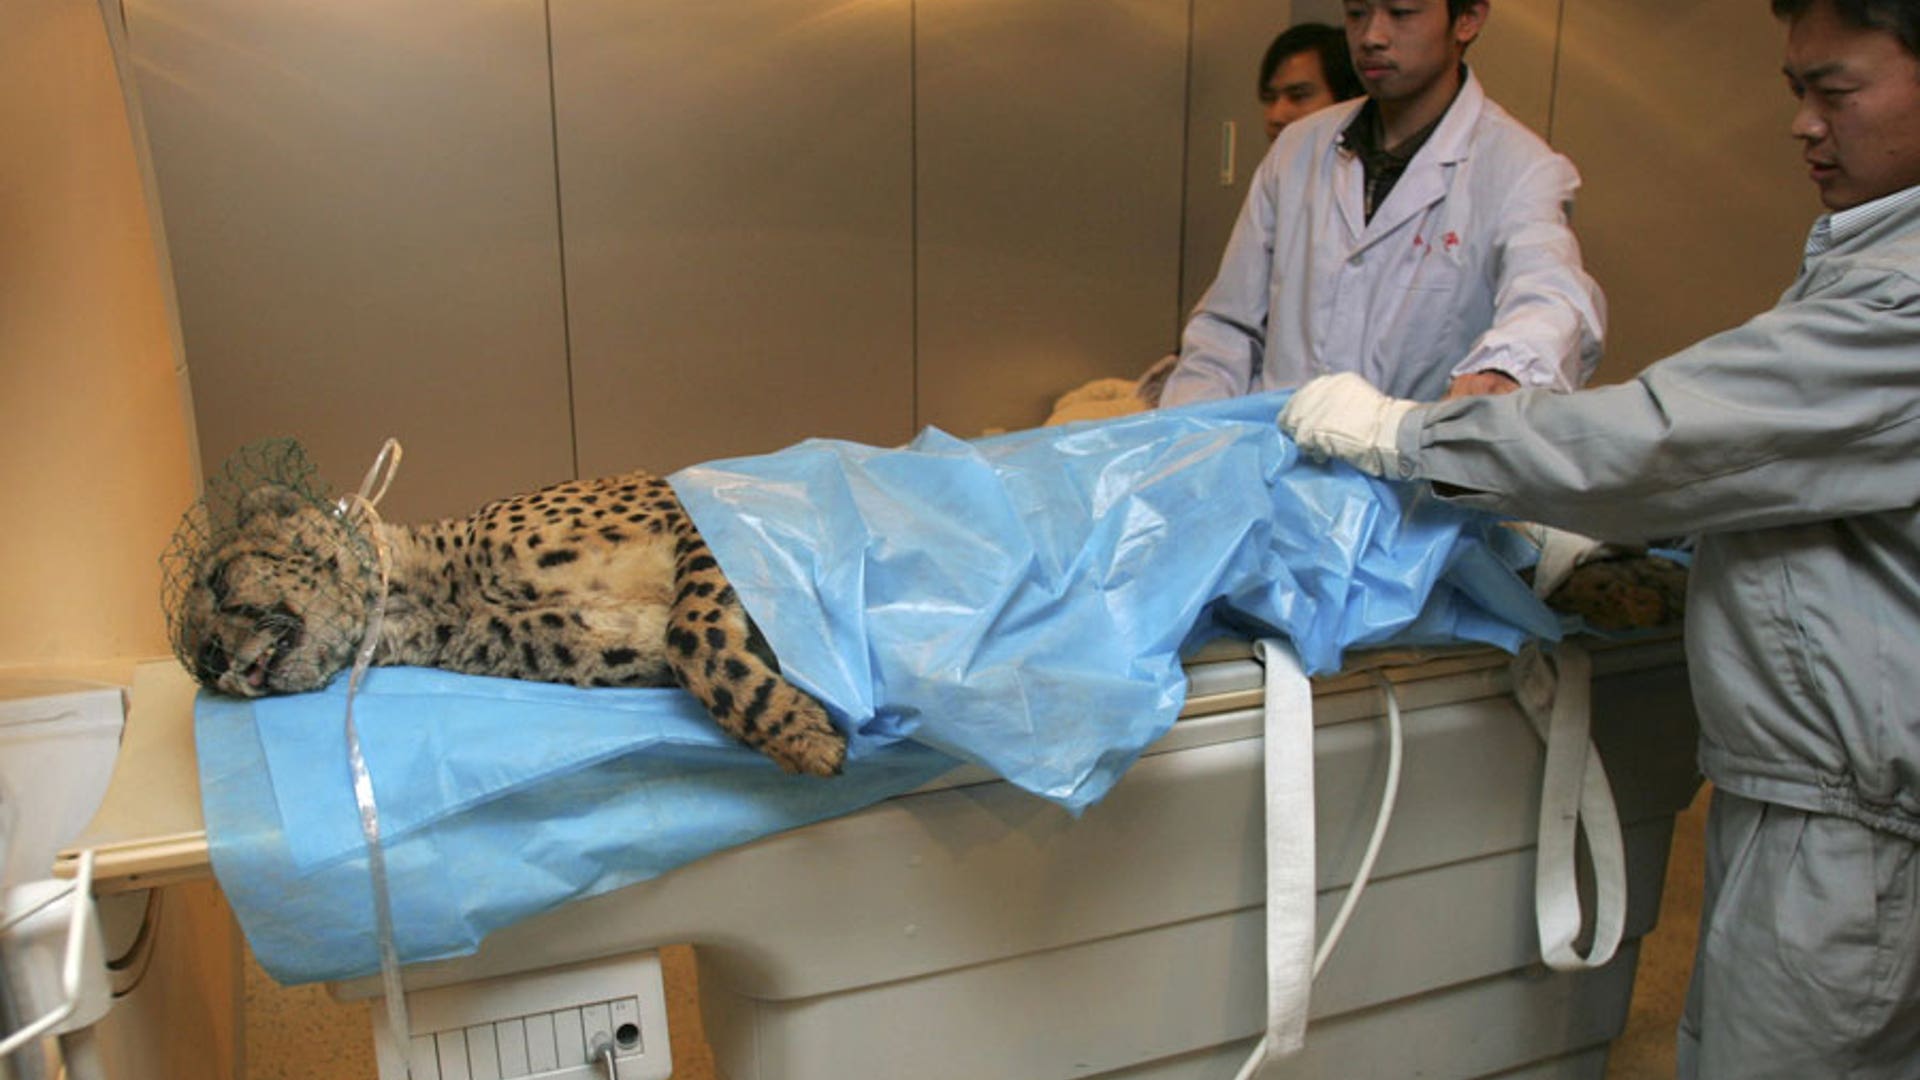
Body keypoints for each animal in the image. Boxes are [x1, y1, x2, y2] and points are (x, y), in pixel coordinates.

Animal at [174, 471, 846, 777]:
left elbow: (691, 634)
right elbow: (680, 644)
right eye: (194, 664)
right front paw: (796, 725)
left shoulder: (693, 510)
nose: (209, 659)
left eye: (219, 580)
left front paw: (798, 733)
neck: (437, 594)